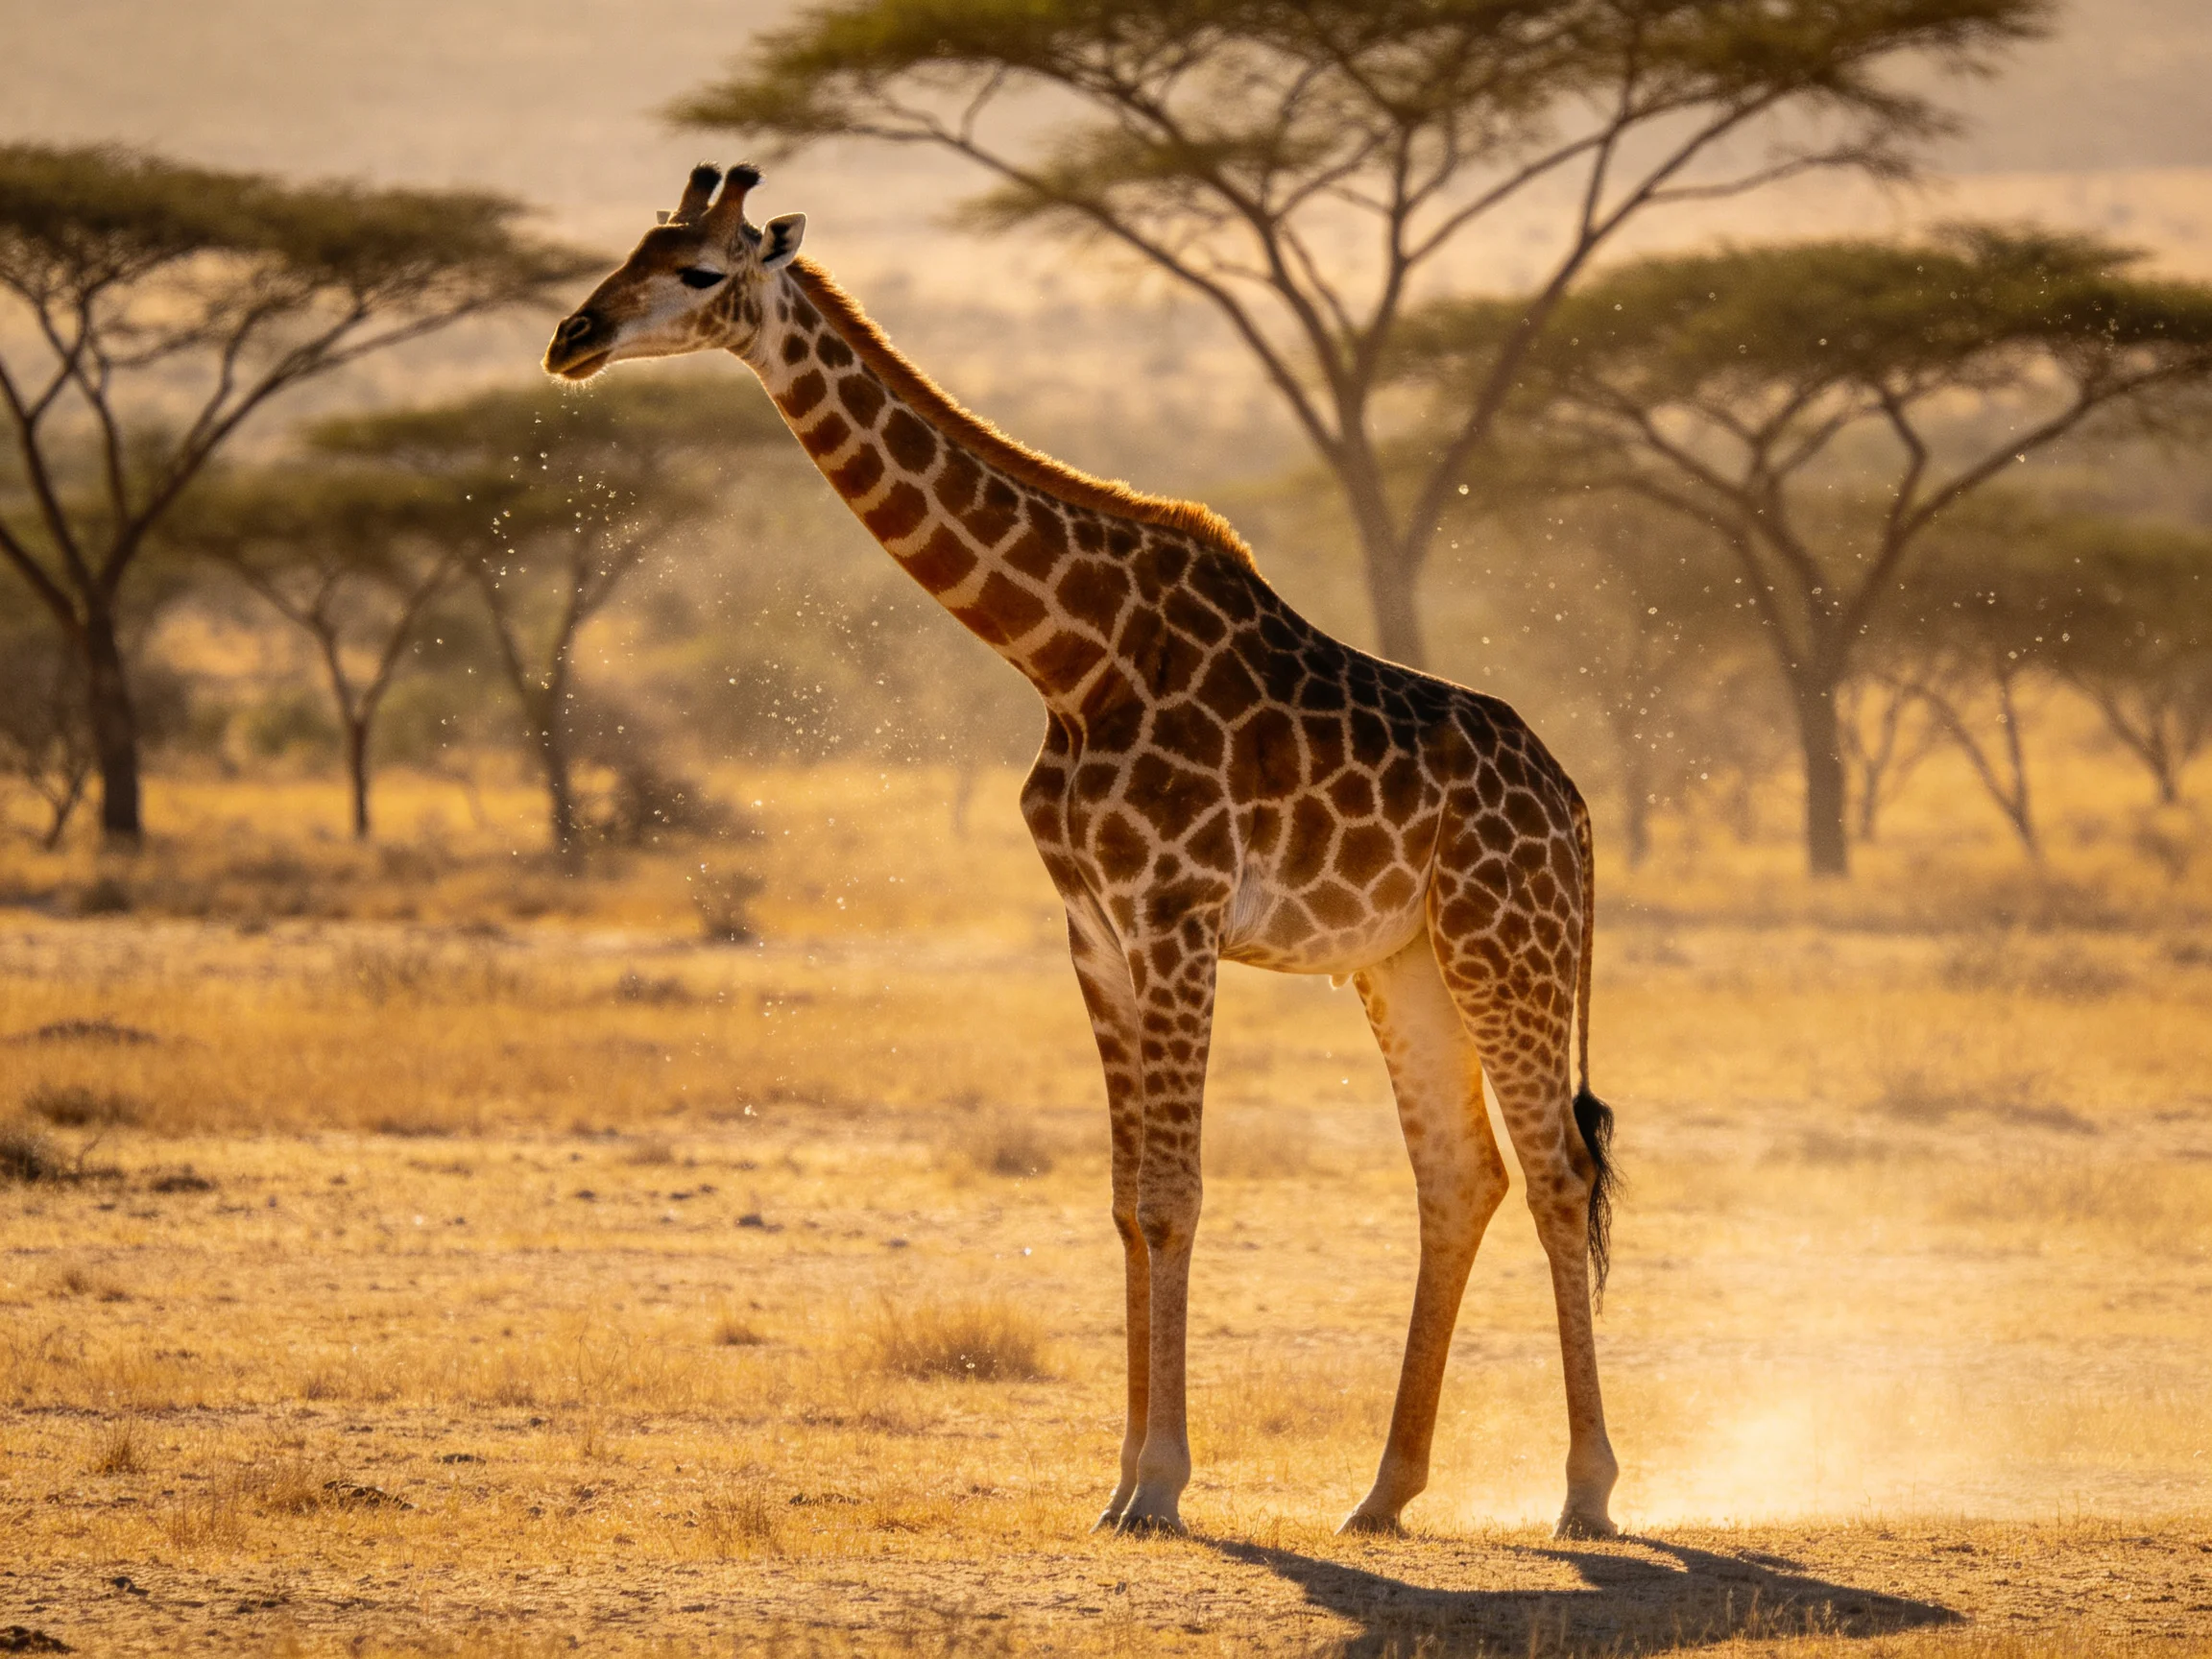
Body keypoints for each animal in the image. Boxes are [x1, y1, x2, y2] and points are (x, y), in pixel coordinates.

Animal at [544, 164, 1622, 1540]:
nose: (572, 338)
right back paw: (1382, 1493)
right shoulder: (1096, 934)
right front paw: (1118, 1481)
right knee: (1461, 1175)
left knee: (1555, 1172)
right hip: (1406, 961)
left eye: (693, 271)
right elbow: (1123, 1203)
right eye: (634, 248)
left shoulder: (1178, 919)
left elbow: (1175, 1195)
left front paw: (1161, 1482)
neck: (1069, 656)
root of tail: (1577, 809)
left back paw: (1587, 1493)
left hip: (1506, 946)